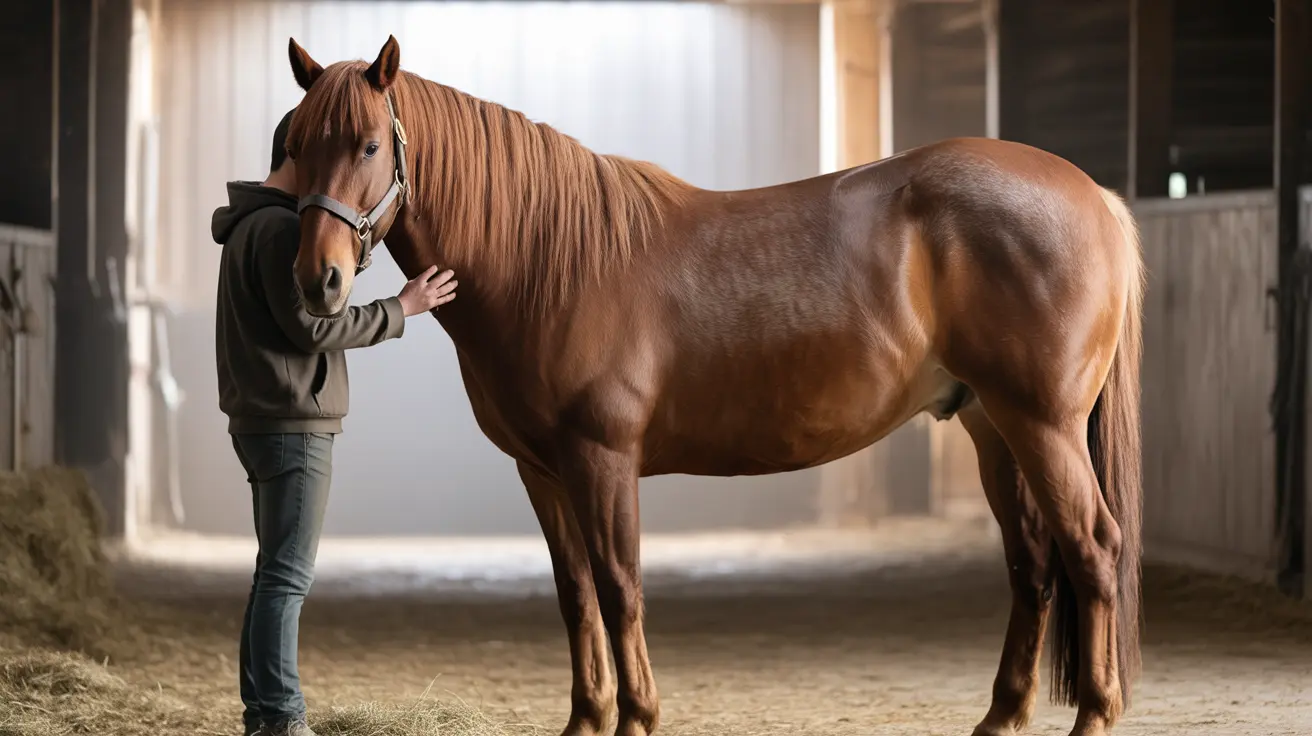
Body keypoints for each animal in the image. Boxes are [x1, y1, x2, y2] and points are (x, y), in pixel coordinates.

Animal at [281, 35, 1144, 736]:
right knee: (1032, 562)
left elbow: (619, 585)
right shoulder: (541, 470)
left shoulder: (602, 459)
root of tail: (1093, 195)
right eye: (291, 143)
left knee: (1094, 548)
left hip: (1043, 424)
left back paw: (1094, 715)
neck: (549, 262)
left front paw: (636, 717)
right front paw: (586, 719)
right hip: (991, 424)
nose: (319, 281)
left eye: (367, 144)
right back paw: (1001, 715)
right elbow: (575, 594)